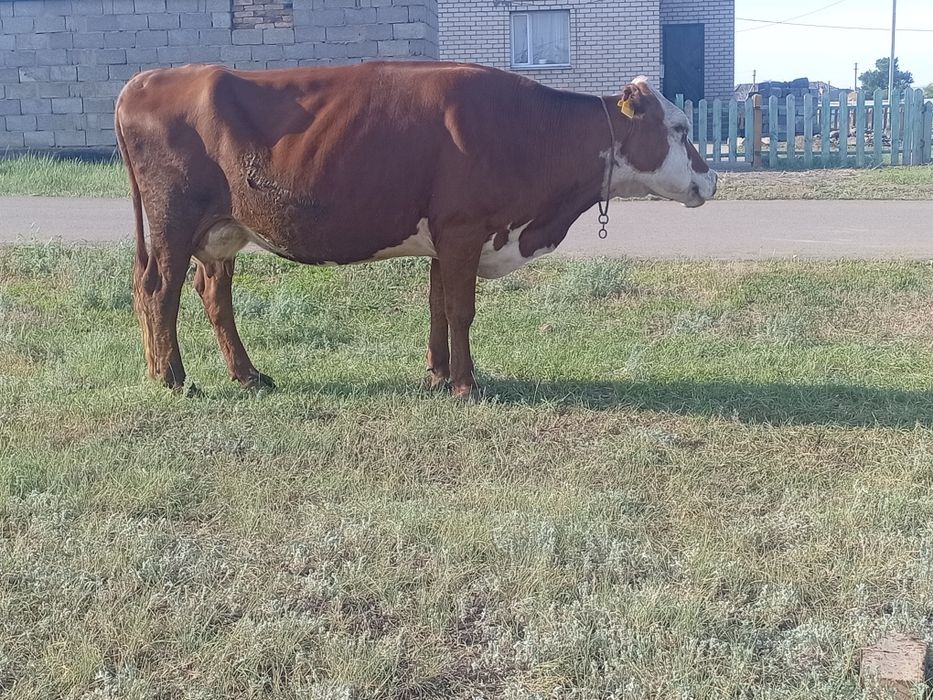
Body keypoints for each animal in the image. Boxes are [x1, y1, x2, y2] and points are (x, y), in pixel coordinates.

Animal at [115, 60, 717, 399]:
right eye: (681, 127)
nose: (711, 179)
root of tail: (147, 79)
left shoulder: (443, 239)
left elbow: (437, 307)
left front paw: (438, 376)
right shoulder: (464, 229)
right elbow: (461, 310)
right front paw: (466, 386)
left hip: (220, 232)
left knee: (212, 293)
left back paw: (247, 375)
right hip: (173, 221)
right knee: (158, 288)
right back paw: (172, 379)